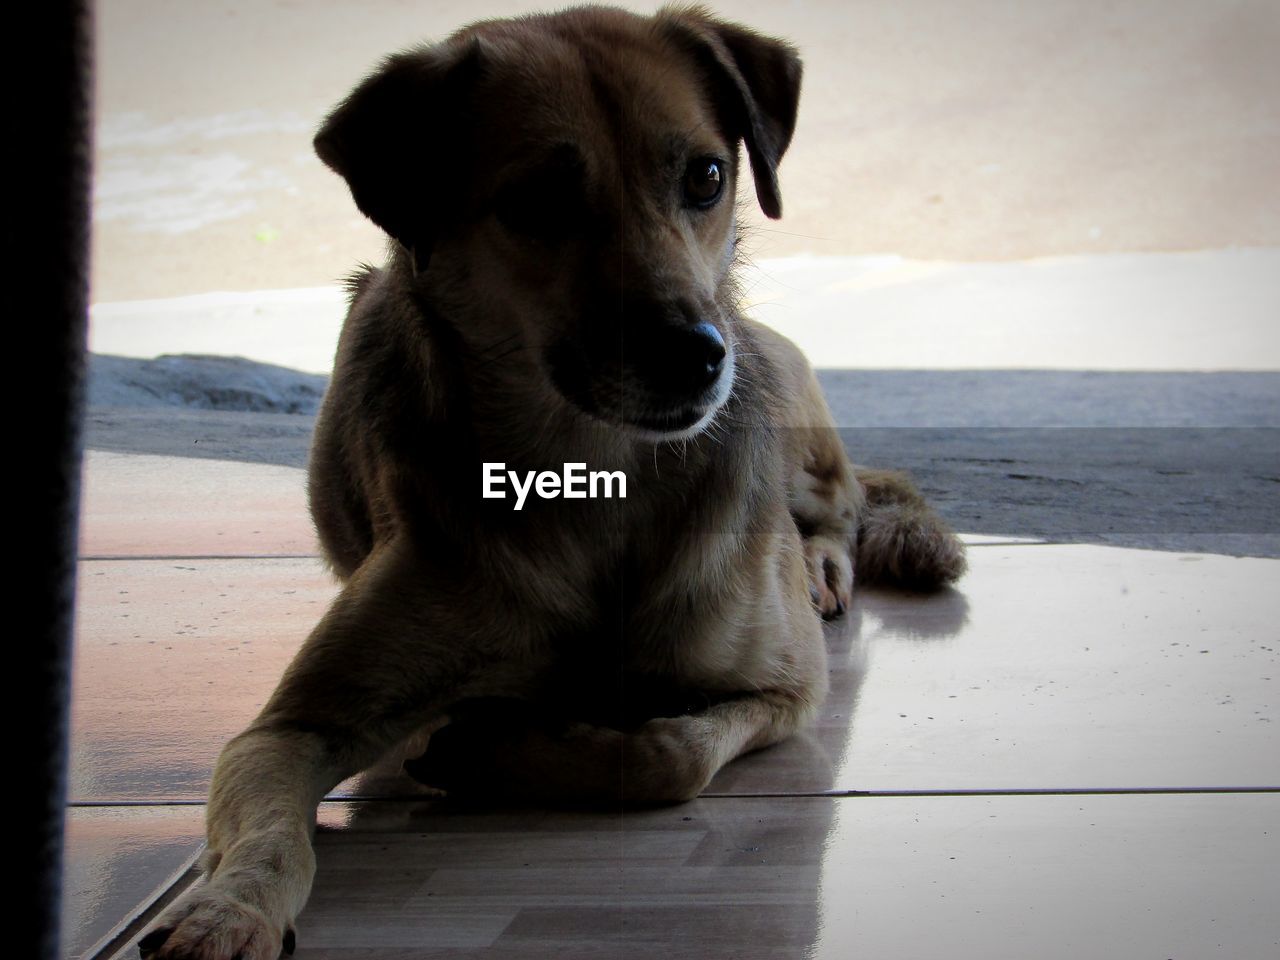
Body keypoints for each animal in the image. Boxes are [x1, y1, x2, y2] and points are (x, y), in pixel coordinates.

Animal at [137, 9, 962, 960]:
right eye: (536, 201)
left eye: (707, 176)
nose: (698, 355)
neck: (598, 476)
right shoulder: (288, 730)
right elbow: (272, 829)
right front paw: (226, 906)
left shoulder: (786, 689)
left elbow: (667, 756)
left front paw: (492, 751)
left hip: (795, 421)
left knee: (850, 498)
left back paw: (825, 559)